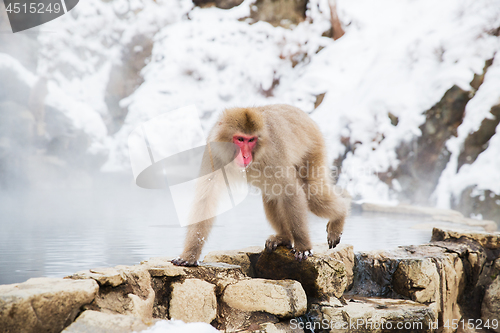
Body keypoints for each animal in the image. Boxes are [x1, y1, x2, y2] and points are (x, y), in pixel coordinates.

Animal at [171, 105, 348, 266]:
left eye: (251, 140)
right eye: (240, 139)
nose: (245, 155)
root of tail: (303, 114)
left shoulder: (273, 155)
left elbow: (291, 191)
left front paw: (303, 247)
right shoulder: (214, 153)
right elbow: (206, 197)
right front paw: (190, 255)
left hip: (313, 149)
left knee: (311, 194)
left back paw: (341, 214)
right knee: (272, 194)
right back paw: (284, 238)